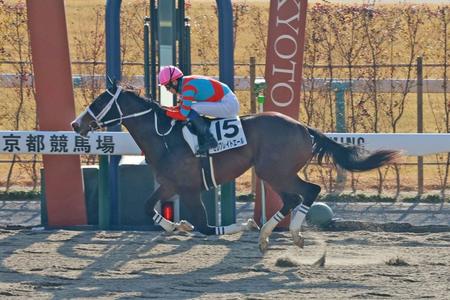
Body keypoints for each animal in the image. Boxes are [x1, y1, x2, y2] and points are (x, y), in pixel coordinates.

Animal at [72, 84, 400, 253]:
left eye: (99, 101)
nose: (76, 124)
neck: (164, 137)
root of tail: (304, 128)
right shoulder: (170, 184)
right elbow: (147, 207)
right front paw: (176, 225)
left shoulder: (190, 189)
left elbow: (206, 227)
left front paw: (243, 225)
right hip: (273, 172)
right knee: (293, 198)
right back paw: (267, 237)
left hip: (275, 170)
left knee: (309, 191)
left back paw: (288, 234)